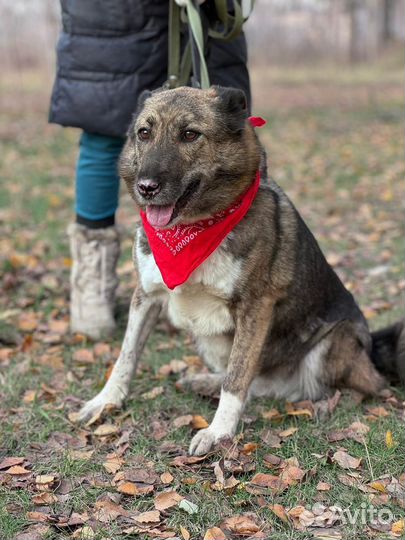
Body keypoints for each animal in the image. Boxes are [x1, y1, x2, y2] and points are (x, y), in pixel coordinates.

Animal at [76, 85, 404, 456]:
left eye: (190, 134)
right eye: (144, 133)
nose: (146, 187)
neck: (194, 227)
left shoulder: (255, 308)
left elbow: (237, 377)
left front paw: (218, 432)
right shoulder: (146, 295)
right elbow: (126, 355)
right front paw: (106, 400)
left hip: (337, 339)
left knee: (365, 387)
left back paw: (327, 404)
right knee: (257, 382)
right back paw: (205, 381)